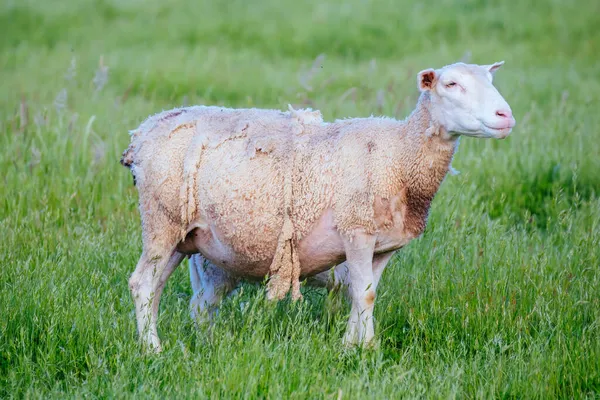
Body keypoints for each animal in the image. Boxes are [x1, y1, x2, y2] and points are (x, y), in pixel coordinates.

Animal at [122, 61, 516, 352]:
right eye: (451, 84)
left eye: (491, 79)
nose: (505, 116)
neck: (399, 158)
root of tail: (143, 133)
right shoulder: (356, 230)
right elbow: (364, 293)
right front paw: (367, 351)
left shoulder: (383, 246)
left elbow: (365, 294)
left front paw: (351, 346)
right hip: (161, 218)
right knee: (143, 283)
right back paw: (153, 351)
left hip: (183, 236)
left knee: (161, 289)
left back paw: (162, 343)